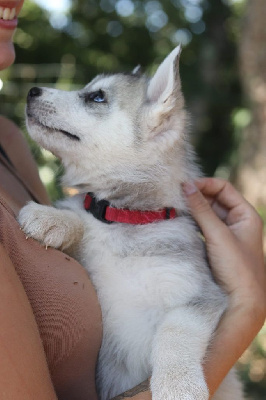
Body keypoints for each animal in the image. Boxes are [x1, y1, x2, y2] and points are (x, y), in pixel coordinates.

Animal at [18, 45, 243, 398]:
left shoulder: (199, 294)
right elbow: (82, 217)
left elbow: (176, 331)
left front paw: (177, 383)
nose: (31, 91)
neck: (125, 217)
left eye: (96, 97)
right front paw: (51, 217)